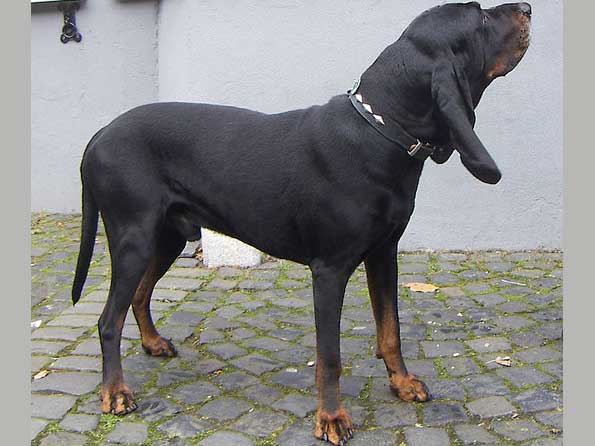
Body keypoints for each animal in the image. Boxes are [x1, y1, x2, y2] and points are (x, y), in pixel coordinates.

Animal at [72, 2, 532, 442]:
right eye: (480, 17)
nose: (527, 8)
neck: (378, 133)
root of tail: (99, 134)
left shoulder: (384, 254)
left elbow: (391, 330)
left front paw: (401, 383)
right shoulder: (329, 271)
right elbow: (330, 357)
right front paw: (331, 418)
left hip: (166, 237)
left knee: (139, 295)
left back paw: (152, 344)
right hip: (134, 238)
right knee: (108, 320)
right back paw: (115, 392)